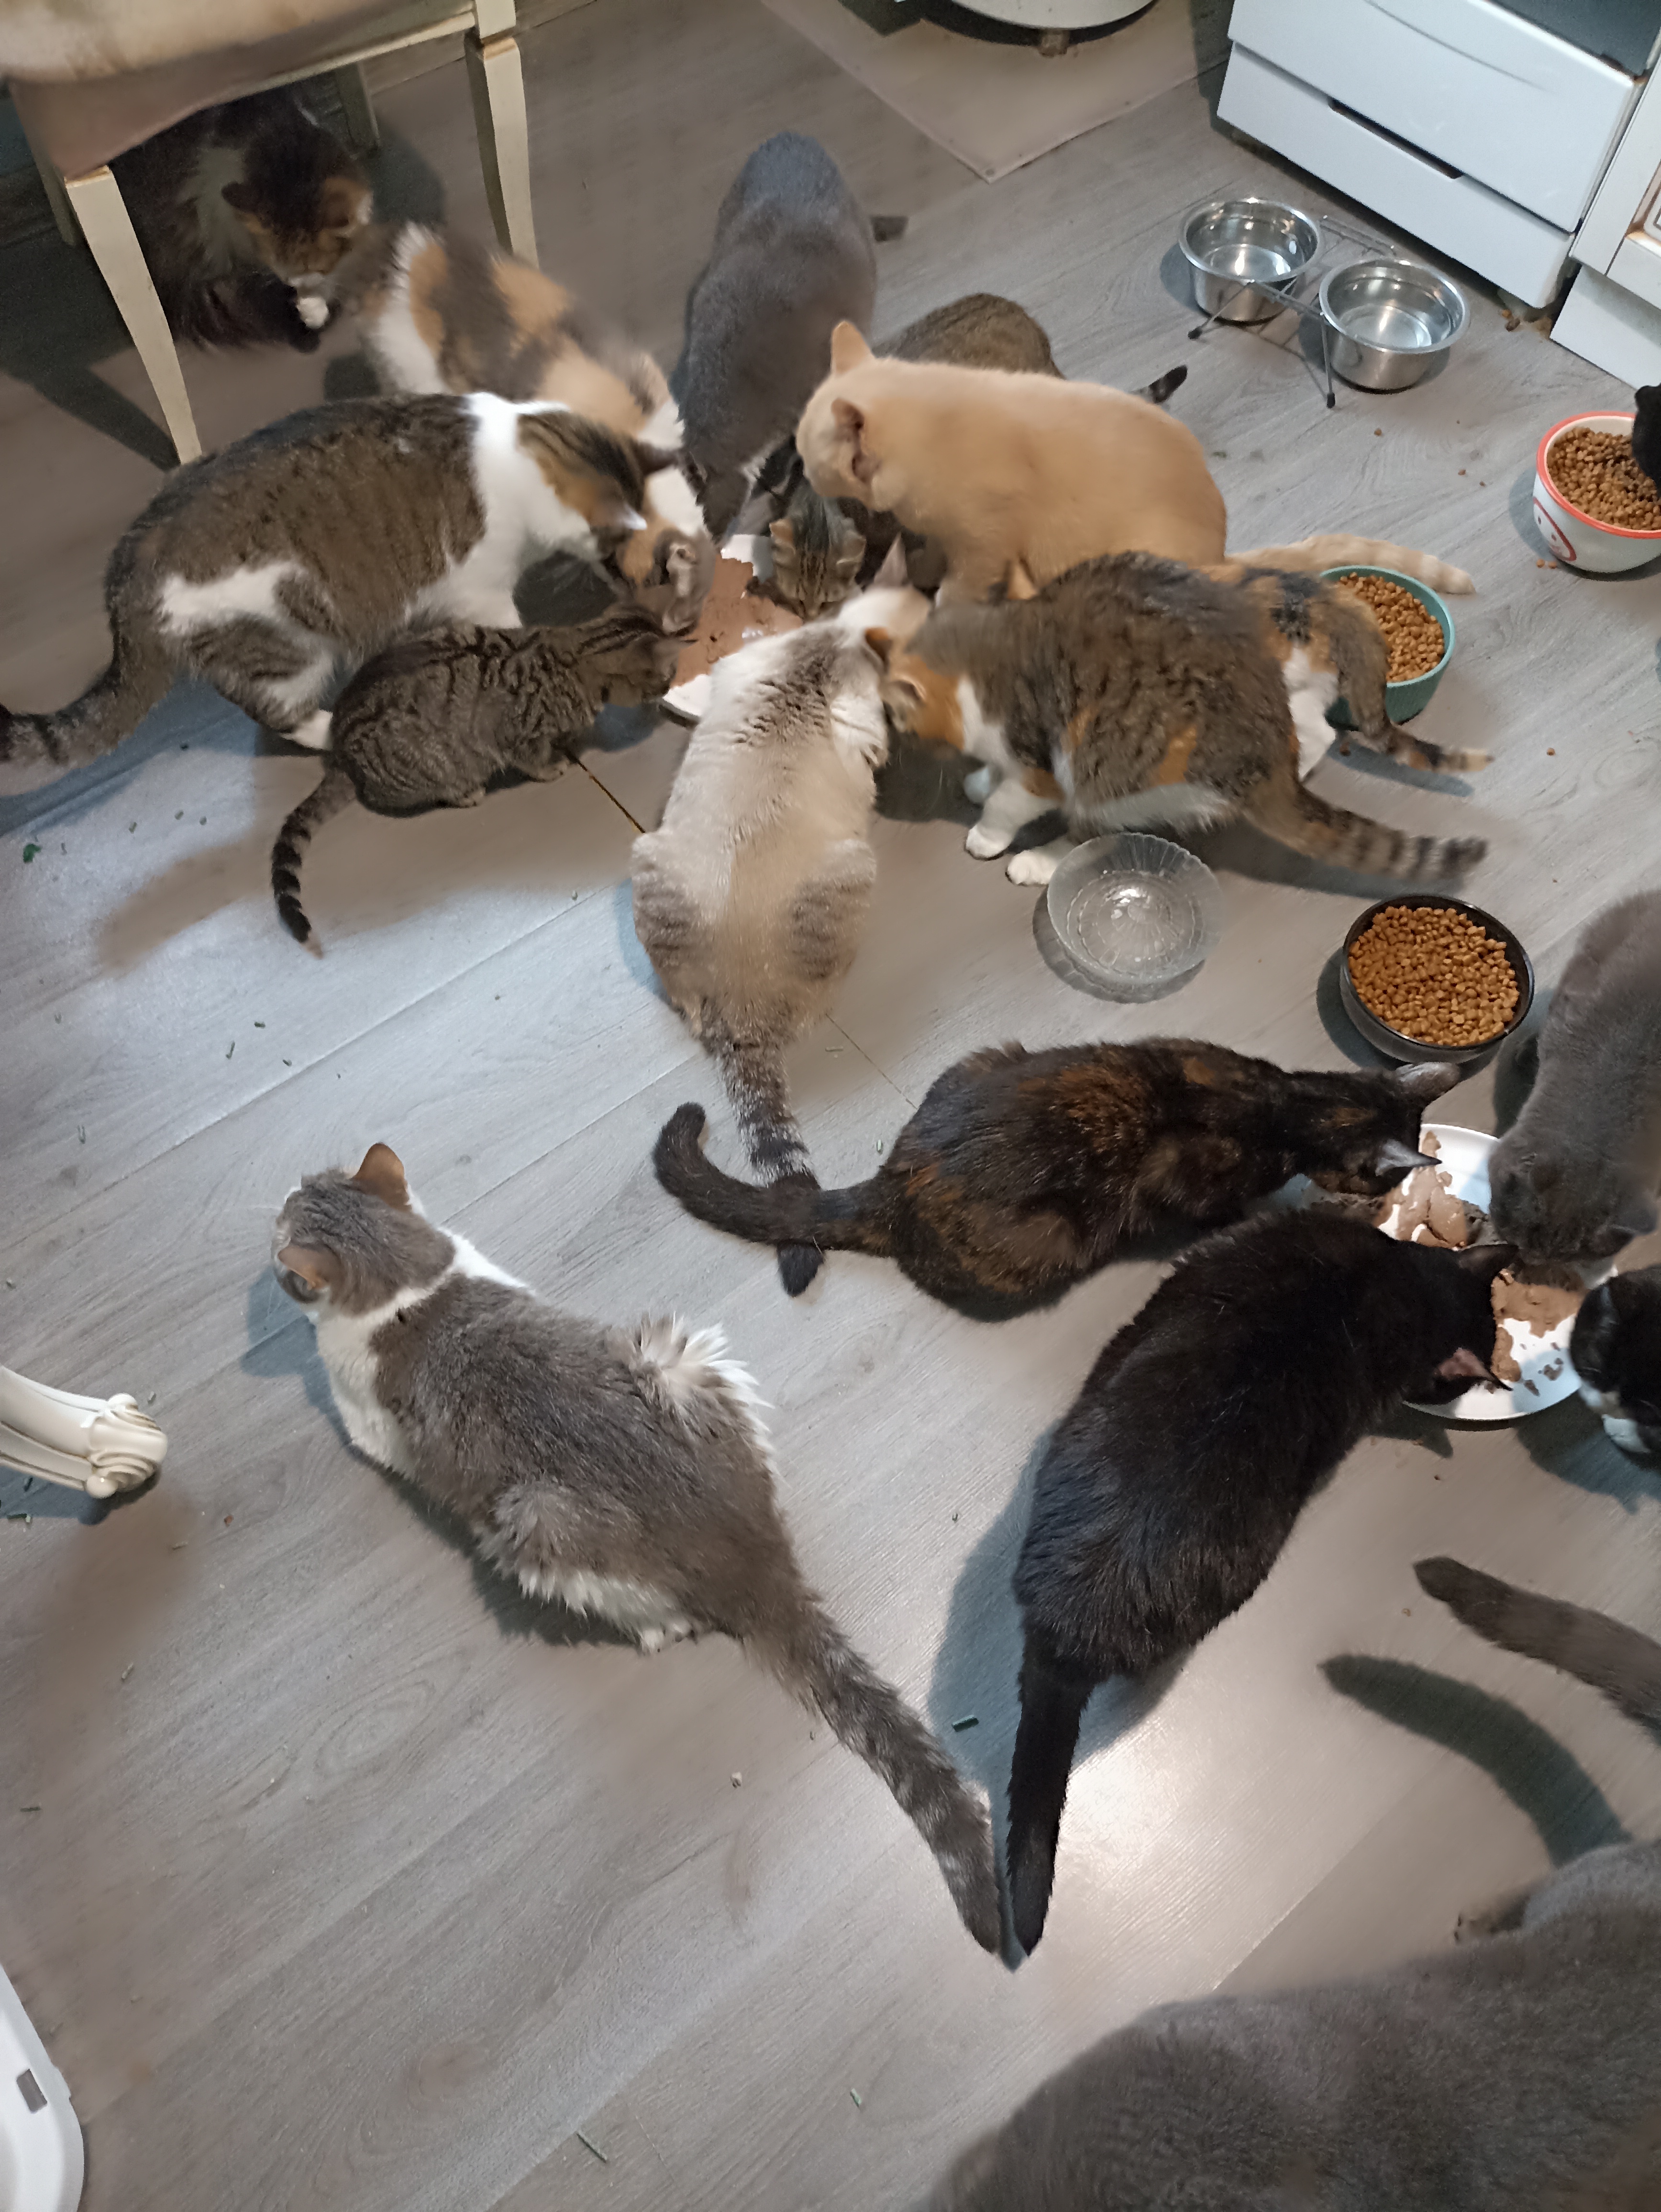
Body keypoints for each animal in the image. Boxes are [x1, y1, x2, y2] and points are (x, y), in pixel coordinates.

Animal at [0, 395, 673, 774]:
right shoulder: (482, 589)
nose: (630, 572)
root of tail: (126, 570)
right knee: (281, 714)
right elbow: (512, 634)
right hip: (289, 648)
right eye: (615, 544)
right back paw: (332, 727)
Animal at [271, 606, 680, 950]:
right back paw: (465, 793)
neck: (576, 654)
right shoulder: (519, 737)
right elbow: (535, 761)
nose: (673, 684)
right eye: (670, 674)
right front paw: (555, 764)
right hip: (429, 769)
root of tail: (341, 750)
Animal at [272, 1143, 1000, 1951]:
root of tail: (753, 1557)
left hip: (537, 1527)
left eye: (282, 1233)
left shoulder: (367, 1422)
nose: (280, 1196)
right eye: (313, 1182)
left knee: (656, 1616)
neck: (407, 1285)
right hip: (681, 1354)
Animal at [655, 1040, 1462, 1309]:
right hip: (1049, 1239)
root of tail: (894, 1180)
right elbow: (1216, 1210)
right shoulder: (1186, 1179)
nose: (1390, 1195)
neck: (1287, 1101)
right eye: (1383, 1182)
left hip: (988, 1055)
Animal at [868, 552, 1489, 888]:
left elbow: (1010, 799)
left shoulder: (1042, 761)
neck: (991, 651)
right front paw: (979, 780)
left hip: (1115, 770)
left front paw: (987, 830)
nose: (889, 745)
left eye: (894, 717)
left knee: (1095, 833)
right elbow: (997, 777)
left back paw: (1038, 862)